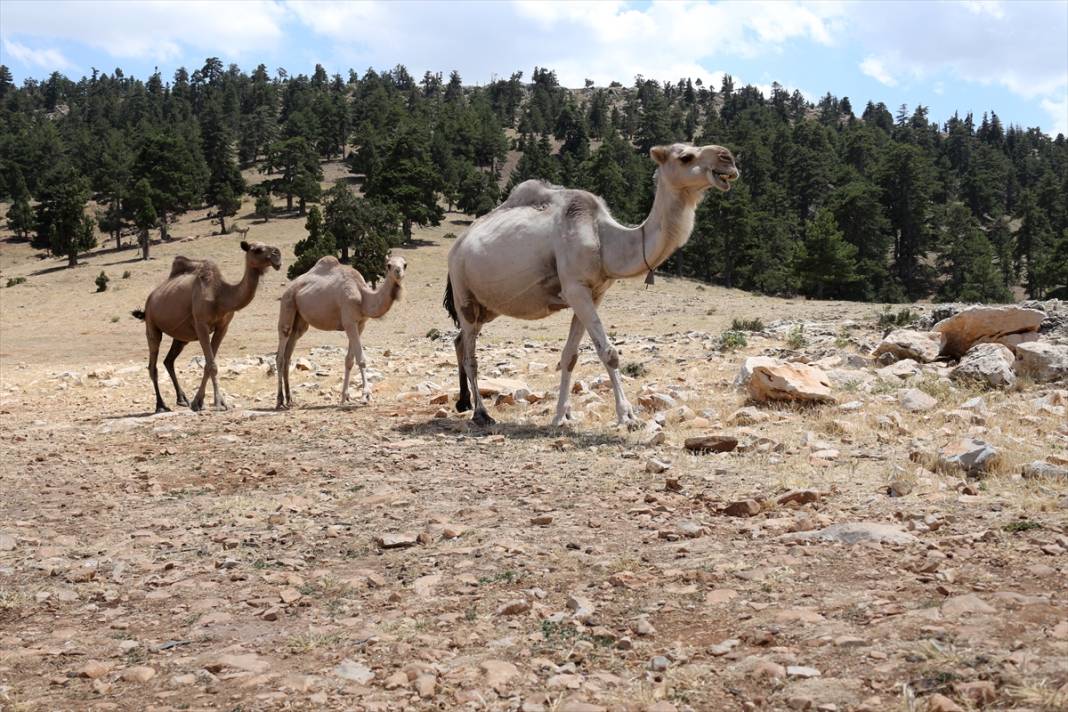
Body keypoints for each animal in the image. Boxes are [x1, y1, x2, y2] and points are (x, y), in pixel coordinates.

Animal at [132, 243, 279, 414]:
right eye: (257, 249)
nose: (277, 254)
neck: (220, 295)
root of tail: (149, 300)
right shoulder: (201, 325)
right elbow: (212, 365)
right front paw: (219, 403)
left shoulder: (223, 327)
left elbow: (209, 364)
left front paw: (198, 402)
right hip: (152, 324)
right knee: (153, 364)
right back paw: (161, 405)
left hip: (181, 337)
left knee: (168, 360)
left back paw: (182, 399)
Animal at [273, 252, 405, 409]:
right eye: (388, 265)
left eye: (405, 264)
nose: (398, 272)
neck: (363, 297)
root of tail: (289, 288)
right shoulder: (349, 322)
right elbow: (361, 359)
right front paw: (366, 396)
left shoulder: (360, 324)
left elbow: (349, 360)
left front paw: (344, 397)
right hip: (287, 303)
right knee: (281, 351)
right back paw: (279, 401)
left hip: (300, 321)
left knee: (288, 354)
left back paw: (290, 399)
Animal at [442, 141, 734, 426]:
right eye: (685, 157)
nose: (727, 157)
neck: (604, 239)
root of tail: (457, 246)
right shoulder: (575, 289)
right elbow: (609, 352)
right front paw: (627, 416)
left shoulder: (594, 294)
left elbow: (570, 356)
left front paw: (561, 415)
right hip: (463, 292)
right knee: (471, 355)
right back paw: (481, 413)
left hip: (489, 306)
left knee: (459, 340)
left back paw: (463, 402)